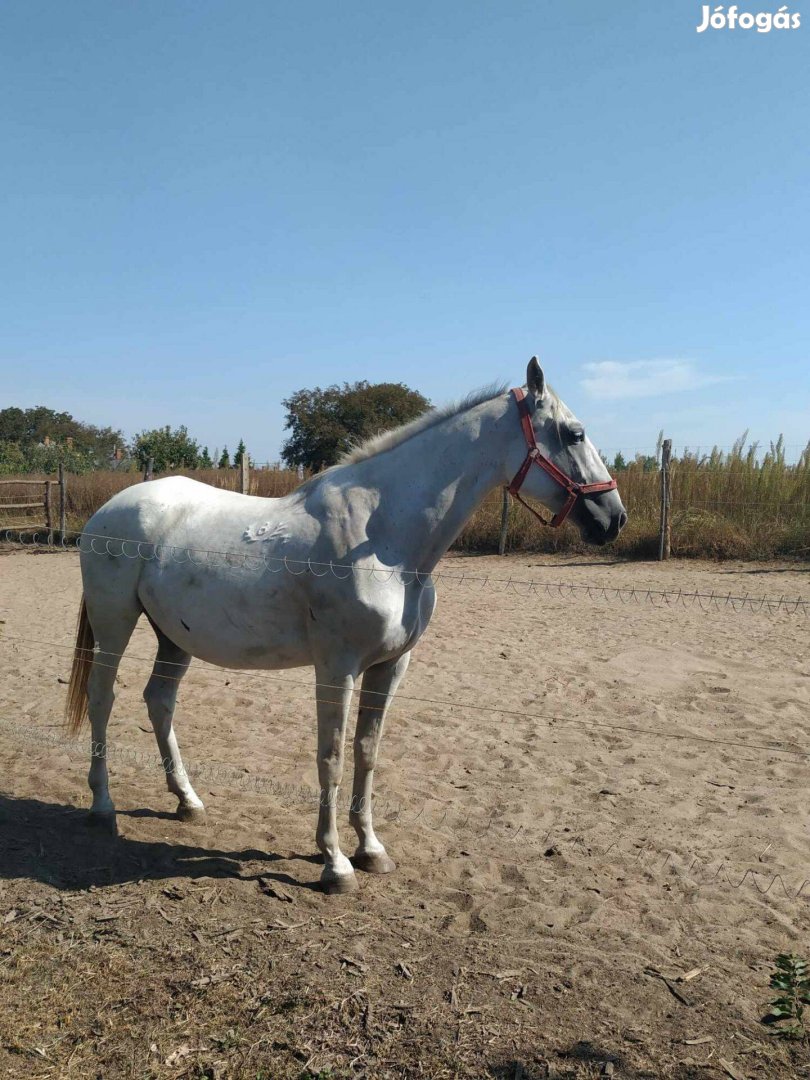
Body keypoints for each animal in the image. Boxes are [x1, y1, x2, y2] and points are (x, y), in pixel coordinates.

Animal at [68, 358, 626, 889]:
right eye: (574, 433)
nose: (613, 517)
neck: (384, 538)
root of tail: (108, 510)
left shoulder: (389, 668)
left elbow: (366, 753)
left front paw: (371, 849)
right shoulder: (338, 669)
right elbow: (331, 757)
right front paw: (335, 864)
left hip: (173, 637)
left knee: (159, 702)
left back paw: (187, 800)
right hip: (116, 624)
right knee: (103, 698)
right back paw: (103, 807)